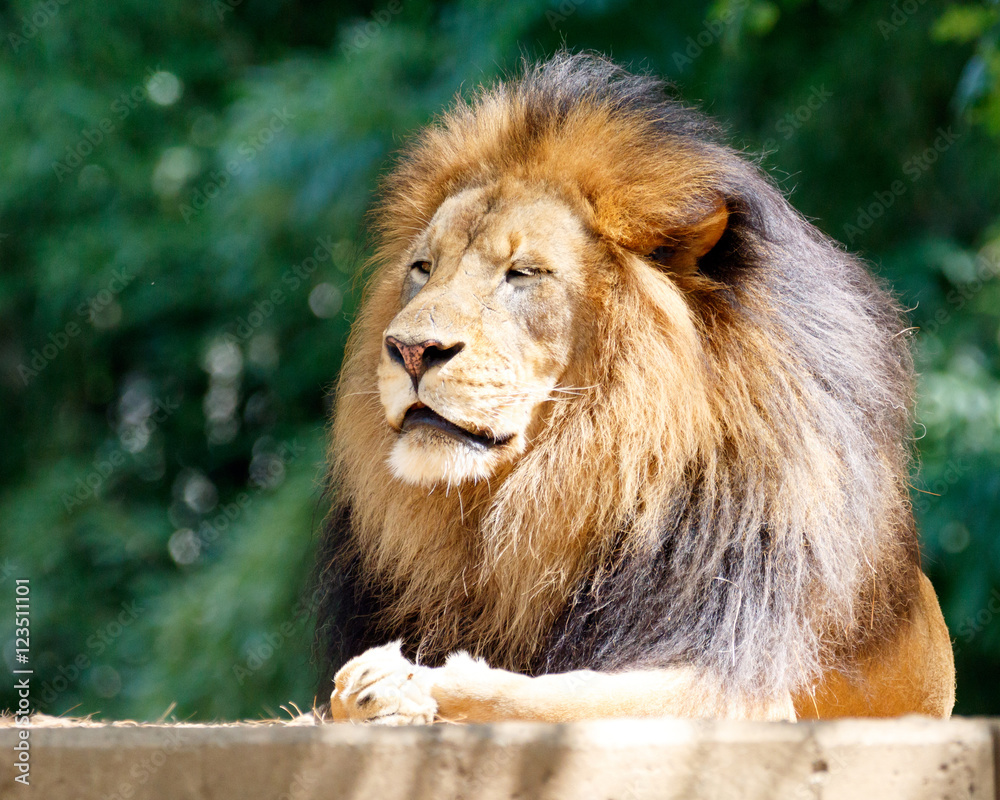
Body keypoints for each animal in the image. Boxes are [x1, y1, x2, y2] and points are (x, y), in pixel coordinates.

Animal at [314, 53, 955, 724]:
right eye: (423, 268)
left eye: (524, 273)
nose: (411, 349)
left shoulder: (738, 677)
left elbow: (545, 697)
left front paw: (393, 683)